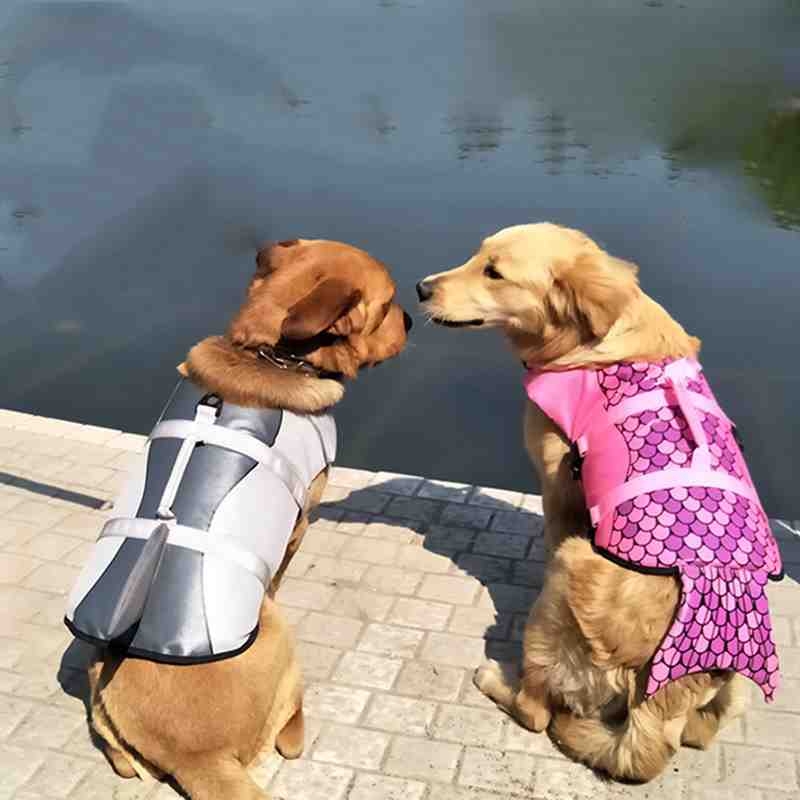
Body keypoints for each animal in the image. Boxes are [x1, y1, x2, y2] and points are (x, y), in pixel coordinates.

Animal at [80, 239, 410, 800]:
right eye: (387, 304)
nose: (410, 316)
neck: (272, 353)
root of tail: (197, 756)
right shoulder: (302, 519)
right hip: (279, 633)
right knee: (288, 732)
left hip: (97, 680)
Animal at [416, 223, 760, 780]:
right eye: (476, 255)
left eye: (494, 272)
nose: (421, 287)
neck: (587, 342)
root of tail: (659, 698)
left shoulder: (558, 491)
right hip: (733, 697)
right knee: (699, 734)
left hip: (572, 565)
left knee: (536, 712)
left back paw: (497, 677)